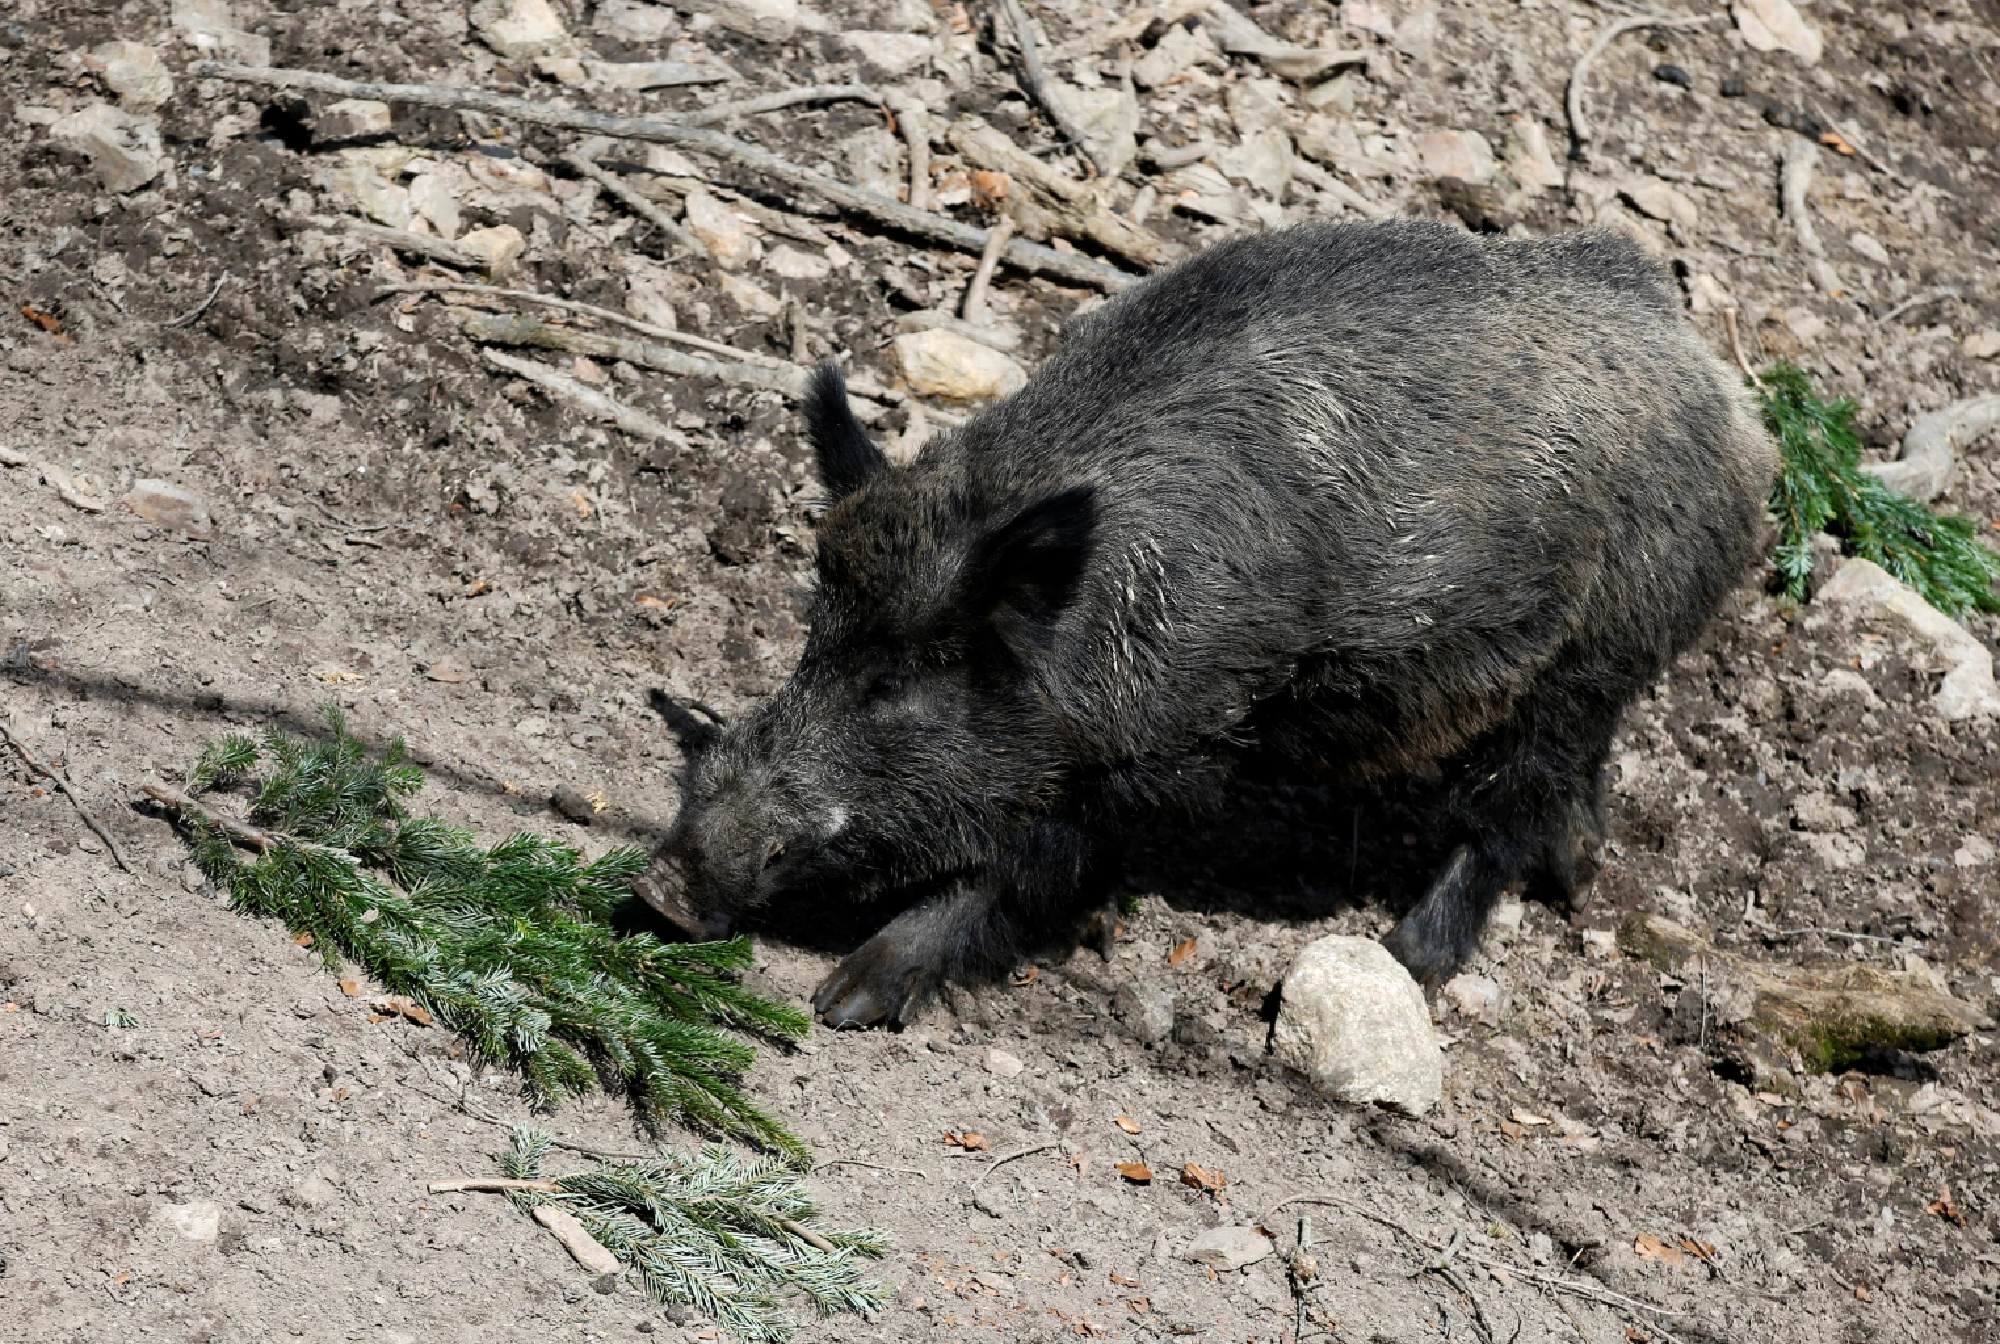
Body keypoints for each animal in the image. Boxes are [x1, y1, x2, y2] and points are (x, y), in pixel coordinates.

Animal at [634, 219, 1776, 1028]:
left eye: (897, 685)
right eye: (812, 638)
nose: (663, 883)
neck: (1087, 628)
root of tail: (1732, 408)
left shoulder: (1167, 748)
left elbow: (1022, 870)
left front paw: (843, 1002)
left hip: (1586, 658)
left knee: (1508, 804)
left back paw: (1407, 955)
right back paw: (1574, 881)